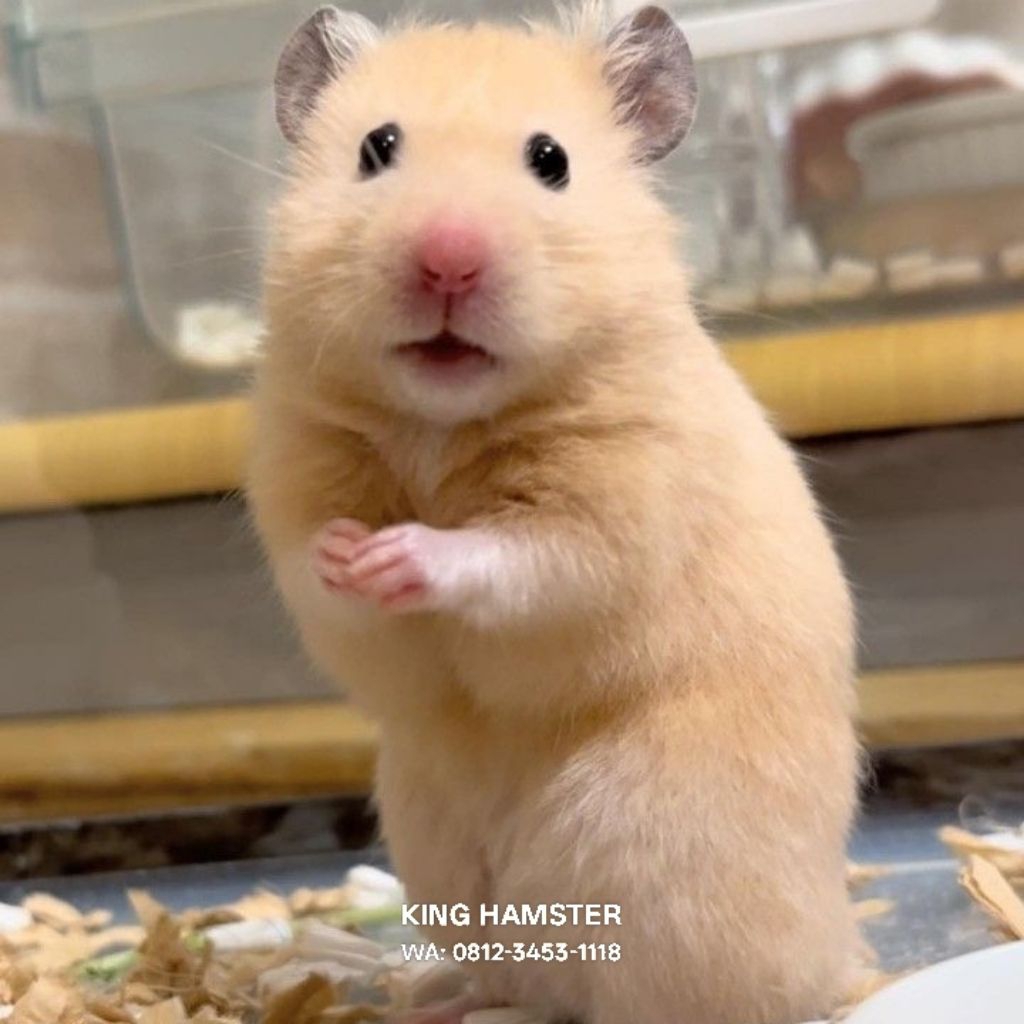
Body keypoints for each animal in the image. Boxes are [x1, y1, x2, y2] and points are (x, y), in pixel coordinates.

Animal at [248, 4, 862, 1023]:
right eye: (377, 149)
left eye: (550, 160)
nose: (447, 259)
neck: (440, 421)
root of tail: (838, 951)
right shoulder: (291, 478)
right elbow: (310, 565)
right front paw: (349, 552)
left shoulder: (612, 516)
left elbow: (517, 557)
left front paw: (402, 554)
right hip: (439, 853)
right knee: (520, 973)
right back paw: (444, 995)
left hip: (657, 863)